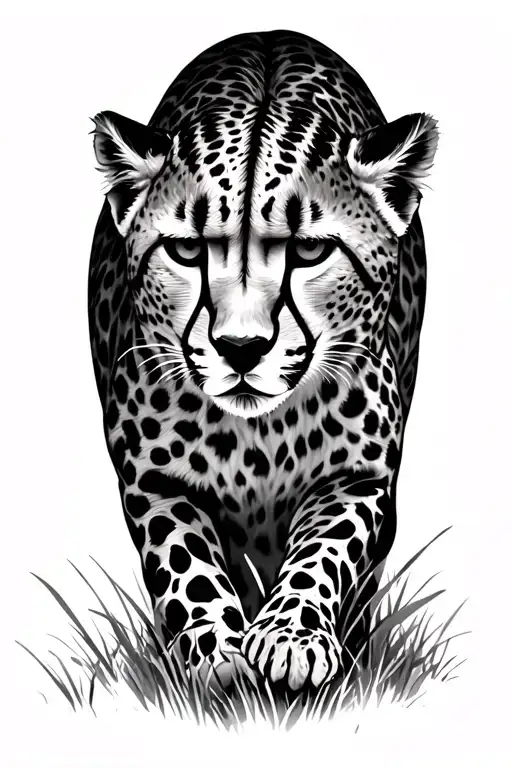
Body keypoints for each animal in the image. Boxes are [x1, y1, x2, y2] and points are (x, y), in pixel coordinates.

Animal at [88, 29, 438, 693]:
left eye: (309, 251)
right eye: (186, 251)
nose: (242, 347)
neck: (261, 435)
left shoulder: (357, 478)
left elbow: (324, 553)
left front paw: (291, 638)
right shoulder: (155, 482)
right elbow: (187, 564)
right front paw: (216, 652)